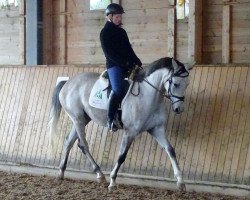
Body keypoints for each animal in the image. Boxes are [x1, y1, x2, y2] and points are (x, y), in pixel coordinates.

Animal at [48, 57, 192, 191]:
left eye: (187, 84)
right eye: (176, 84)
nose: (179, 109)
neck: (148, 96)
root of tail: (68, 82)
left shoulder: (157, 129)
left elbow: (170, 150)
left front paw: (181, 182)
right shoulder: (130, 132)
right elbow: (122, 156)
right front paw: (112, 182)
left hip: (82, 119)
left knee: (69, 142)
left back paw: (61, 173)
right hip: (77, 119)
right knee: (83, 145)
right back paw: (100, 174)